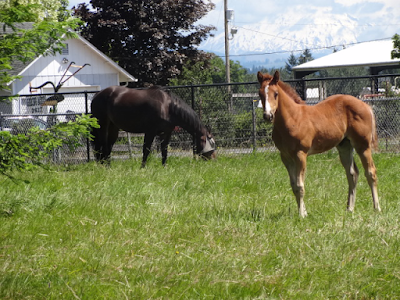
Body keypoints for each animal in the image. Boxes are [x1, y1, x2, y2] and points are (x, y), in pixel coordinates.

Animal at [258, 71, 380, 217]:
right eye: (260, 94)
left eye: (276, 93)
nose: (268, 116)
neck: (292, 118)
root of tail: (365, 105)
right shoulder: (285, 157)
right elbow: (294, 185)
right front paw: (303, 211)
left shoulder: (300, 154)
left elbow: (300, 185)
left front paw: (302, 215)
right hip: (345, 146)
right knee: (352, 174)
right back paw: (349, 209)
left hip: (363, 145)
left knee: (371, 172)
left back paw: (377, 208)